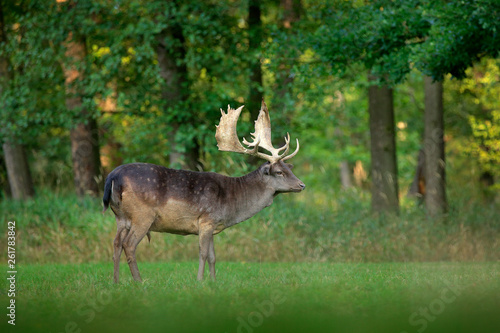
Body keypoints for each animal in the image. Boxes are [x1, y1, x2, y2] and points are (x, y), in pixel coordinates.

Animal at [102, 100, 304, 282]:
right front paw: (199, 281)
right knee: (129, 245)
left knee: (116, 243)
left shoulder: (213, 224)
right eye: (279, 172)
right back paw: (139, 281)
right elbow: (203, 254)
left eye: (289, 168)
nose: (302, 185)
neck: (232, 202)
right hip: (142, 214)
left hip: (121, 217)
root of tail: (113, 176)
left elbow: (213, 257)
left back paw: (116, 281)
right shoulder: (206, 219)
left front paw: (213, 282)